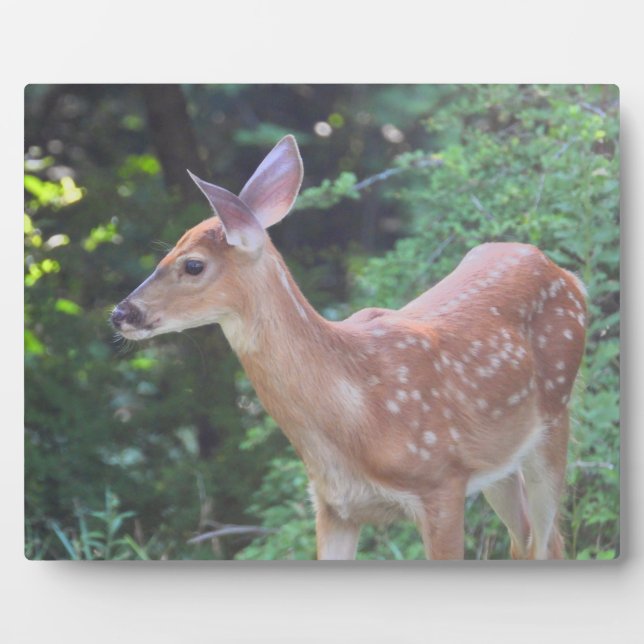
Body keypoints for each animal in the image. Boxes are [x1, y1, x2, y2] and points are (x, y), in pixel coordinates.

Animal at [111, 135, 587, 560]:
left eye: (193, 265)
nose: (121, 312)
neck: (356, 412)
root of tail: (564, 272)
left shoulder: (442, 484)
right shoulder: (333, 505)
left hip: (554, 417)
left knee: (546, 541)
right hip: (498, 457)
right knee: (528, 539)